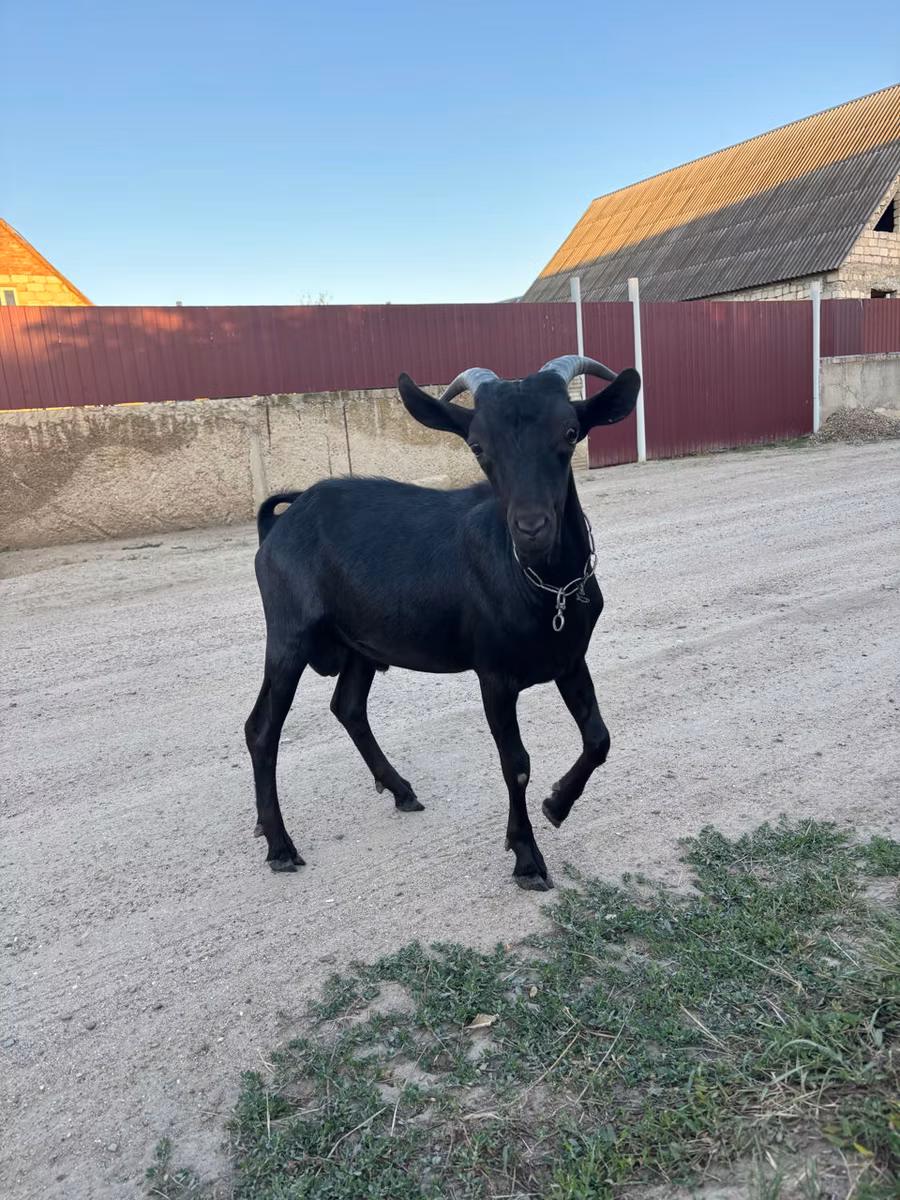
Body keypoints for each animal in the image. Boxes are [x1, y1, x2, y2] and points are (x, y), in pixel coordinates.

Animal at [245, 355, 640, 889]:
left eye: (571, 431)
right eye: (477, 446)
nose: (531, 527)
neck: (543, 588)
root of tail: (277, 524)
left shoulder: (570, 658)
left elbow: (599, 738)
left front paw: (557, 804)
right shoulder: (494, 674)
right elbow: (516, 763)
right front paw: (527, 859)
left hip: (362, 642)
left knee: (347, 706)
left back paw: (400, 790)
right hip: (289, 636)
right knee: (262, 729)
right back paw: (280, 845)